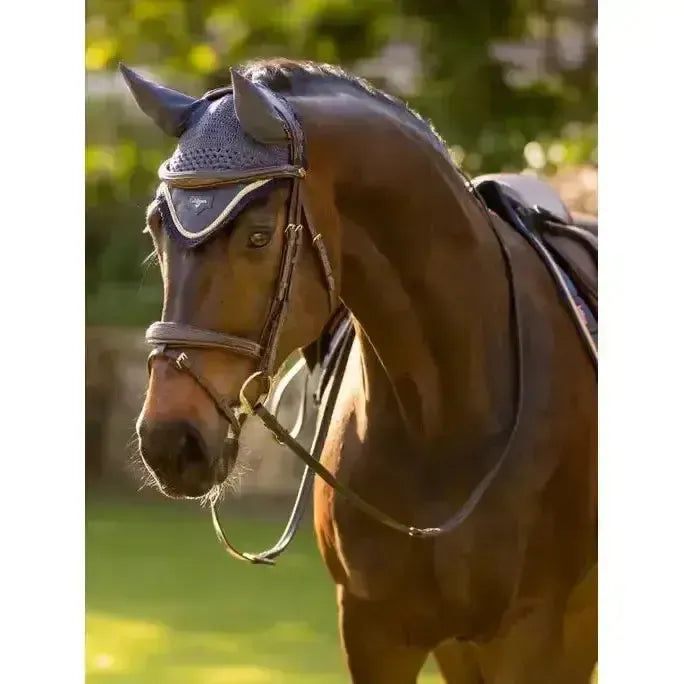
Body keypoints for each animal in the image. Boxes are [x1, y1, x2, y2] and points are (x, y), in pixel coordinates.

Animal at [123, 58, 597, 683]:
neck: (444, 418)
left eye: (259, 236)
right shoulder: (376, 631)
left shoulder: (531, 636)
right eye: (156, 229)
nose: (169, 442)